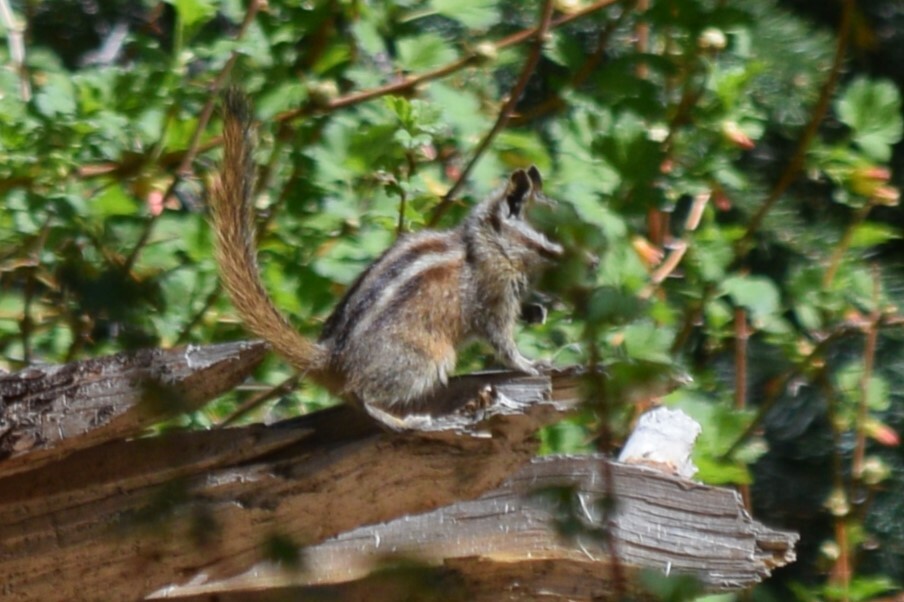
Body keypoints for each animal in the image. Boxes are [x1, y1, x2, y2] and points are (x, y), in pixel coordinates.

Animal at [210, 90, 563, 428]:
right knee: (362, 394)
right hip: (425, 358)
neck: (486, 243)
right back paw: (405, 422)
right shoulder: (492, 295)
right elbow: (502, 341)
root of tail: (332, 359)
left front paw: (536, 312)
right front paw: (531, 364)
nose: (575, 259)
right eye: (550, 232)